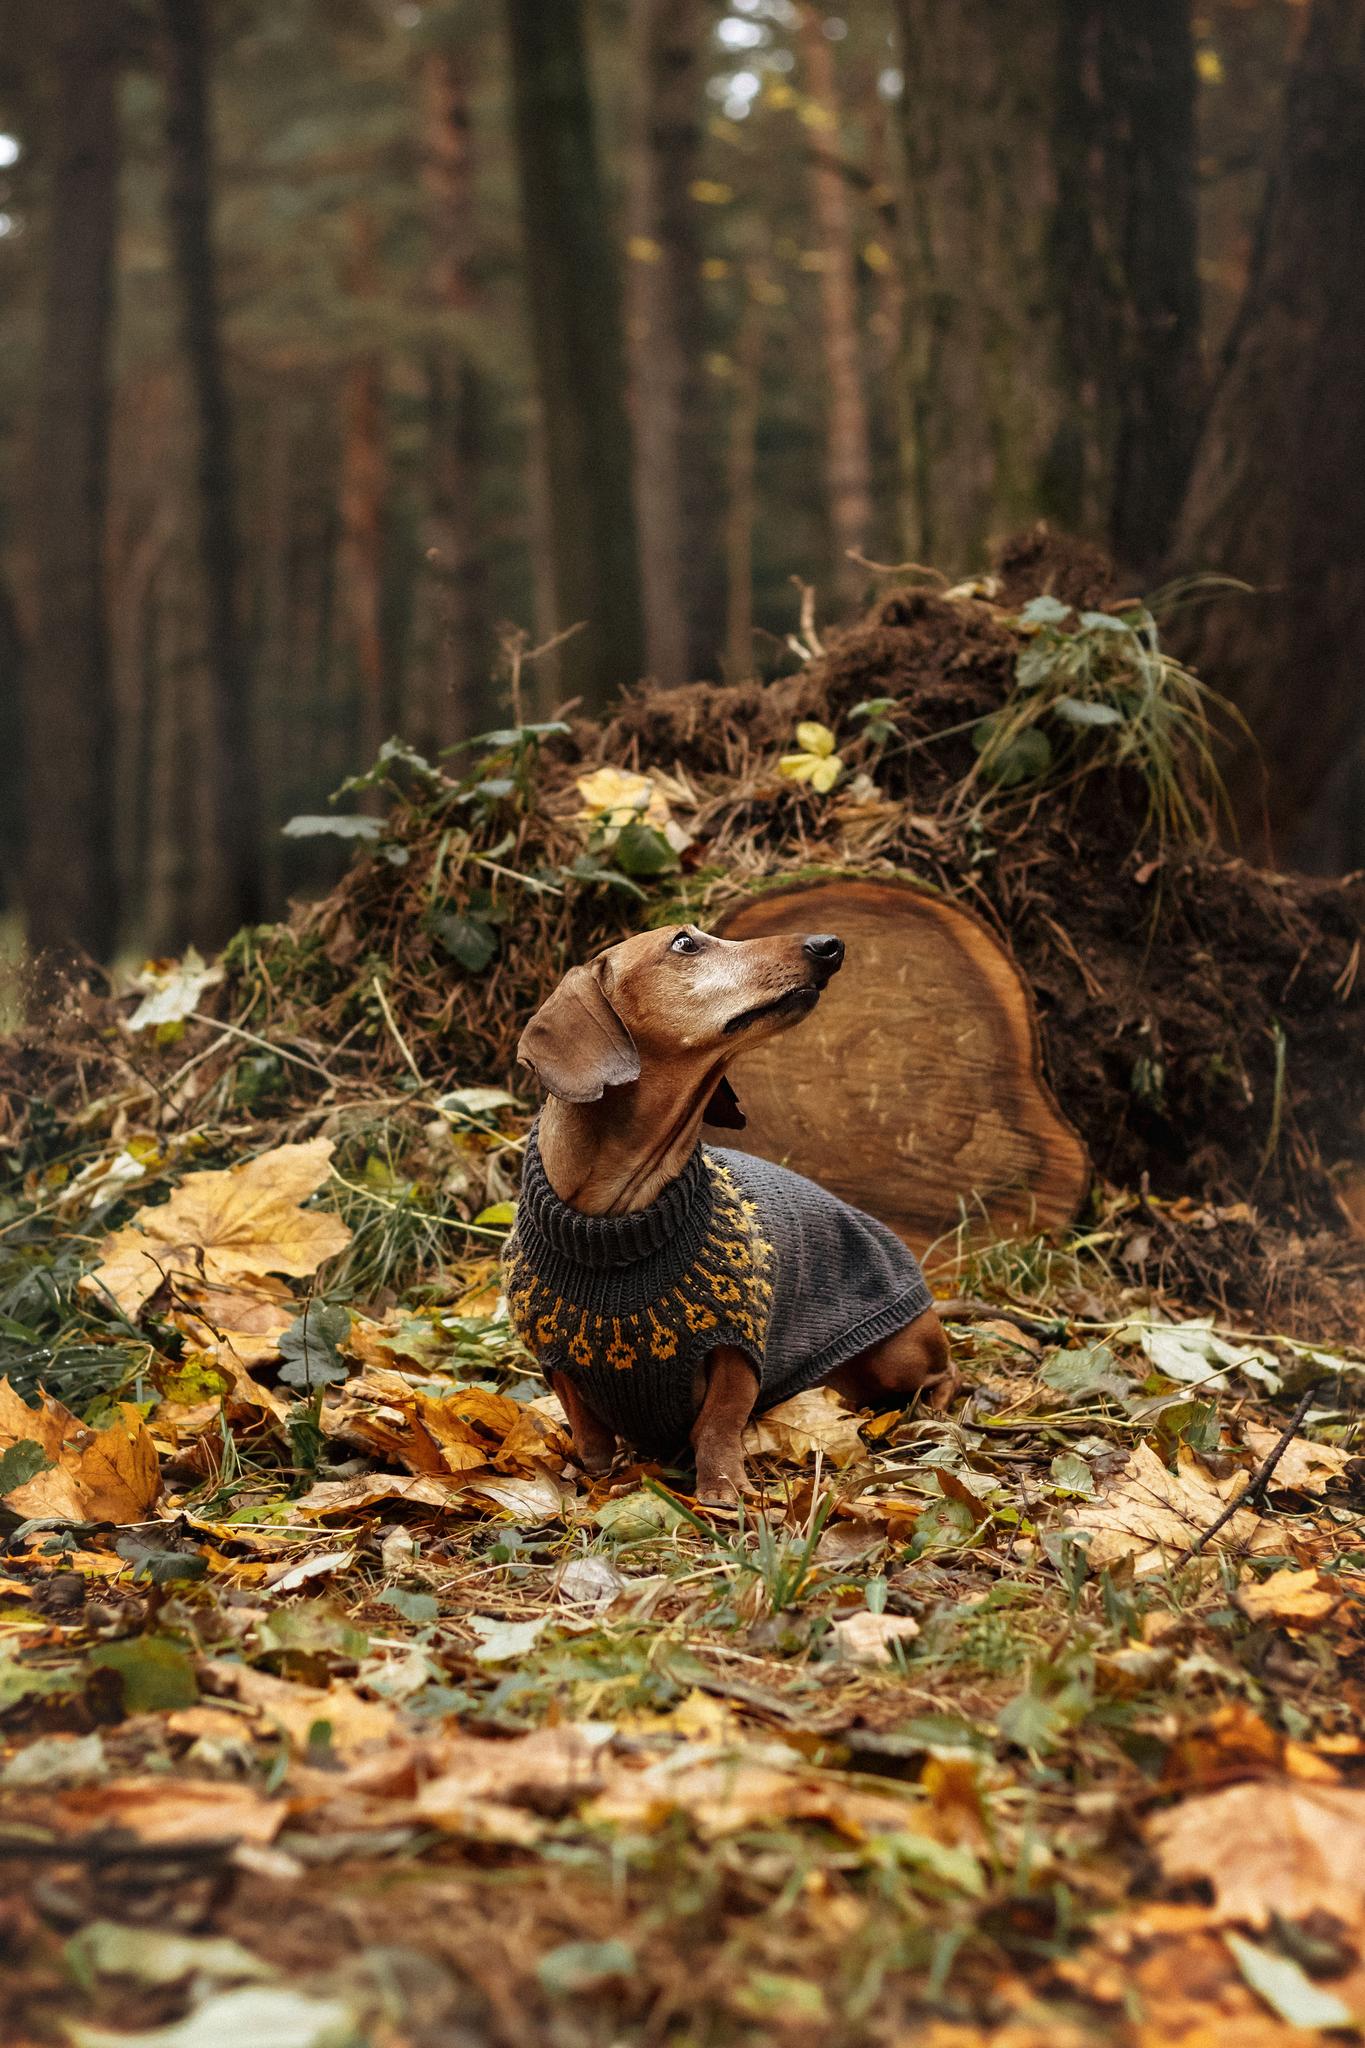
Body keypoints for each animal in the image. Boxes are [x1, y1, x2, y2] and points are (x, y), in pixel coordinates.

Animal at [507, 929, 957, 1507]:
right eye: (684, 943)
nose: (829, 944)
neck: (617, 1229)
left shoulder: (736, 1348)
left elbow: (718, 1423)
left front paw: (722, 1488)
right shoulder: (554, 1359)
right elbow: (589, 1432)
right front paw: (593, 1479)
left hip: (899, 1356)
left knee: (946, 1373)